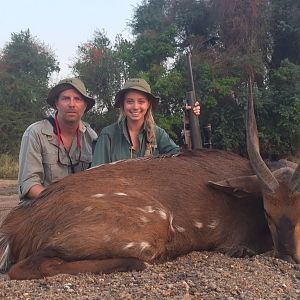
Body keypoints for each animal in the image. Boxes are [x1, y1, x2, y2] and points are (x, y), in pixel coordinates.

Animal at [0, 81, 298, 280]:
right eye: (267, 212)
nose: (289, 256)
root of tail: (15, 226)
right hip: (152, 225)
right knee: (28, 265)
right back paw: (136, 264)